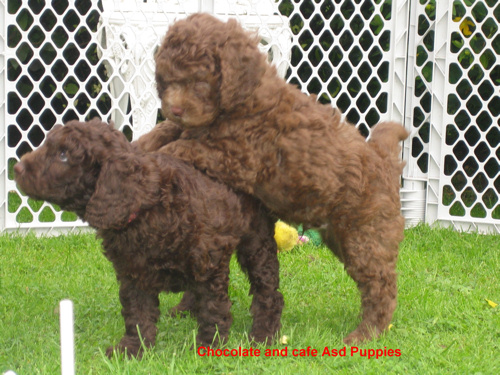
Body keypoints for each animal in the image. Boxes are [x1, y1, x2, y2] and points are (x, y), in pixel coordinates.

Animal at [13, 119, 284, 356]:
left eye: (63, 155)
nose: (16, 168)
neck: (145, 207)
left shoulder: (208, 263)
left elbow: (213, 308)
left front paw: (208, 348)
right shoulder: (133, 271)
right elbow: (137, 313)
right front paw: (132, 349)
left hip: (256, 239)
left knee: (268, 290)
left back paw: (263, 334)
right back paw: (185, 309)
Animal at [138, 13, 410, 346]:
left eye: (200, 81)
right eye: (167, 80)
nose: (174, 108)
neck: (245, 98)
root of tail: (385, 160)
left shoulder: (235, 155)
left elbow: (183, 145)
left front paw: (153, 154)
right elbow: (170, 131)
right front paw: (141, 143)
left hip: (367, 234)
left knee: (381, 285)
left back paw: (365, 333)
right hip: (342, 236)